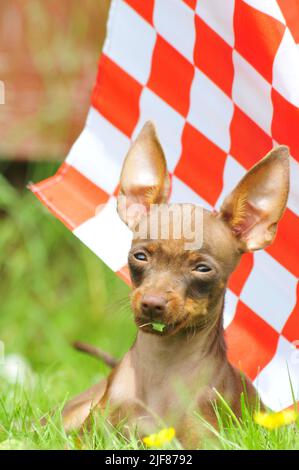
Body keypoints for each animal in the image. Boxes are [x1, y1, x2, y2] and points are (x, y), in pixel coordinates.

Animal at [61, 122, 290, 448]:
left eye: (202, 269)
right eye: (140, 256)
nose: (152, 303)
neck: (162, 367)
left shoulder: (206, 439)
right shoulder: (89, 435)